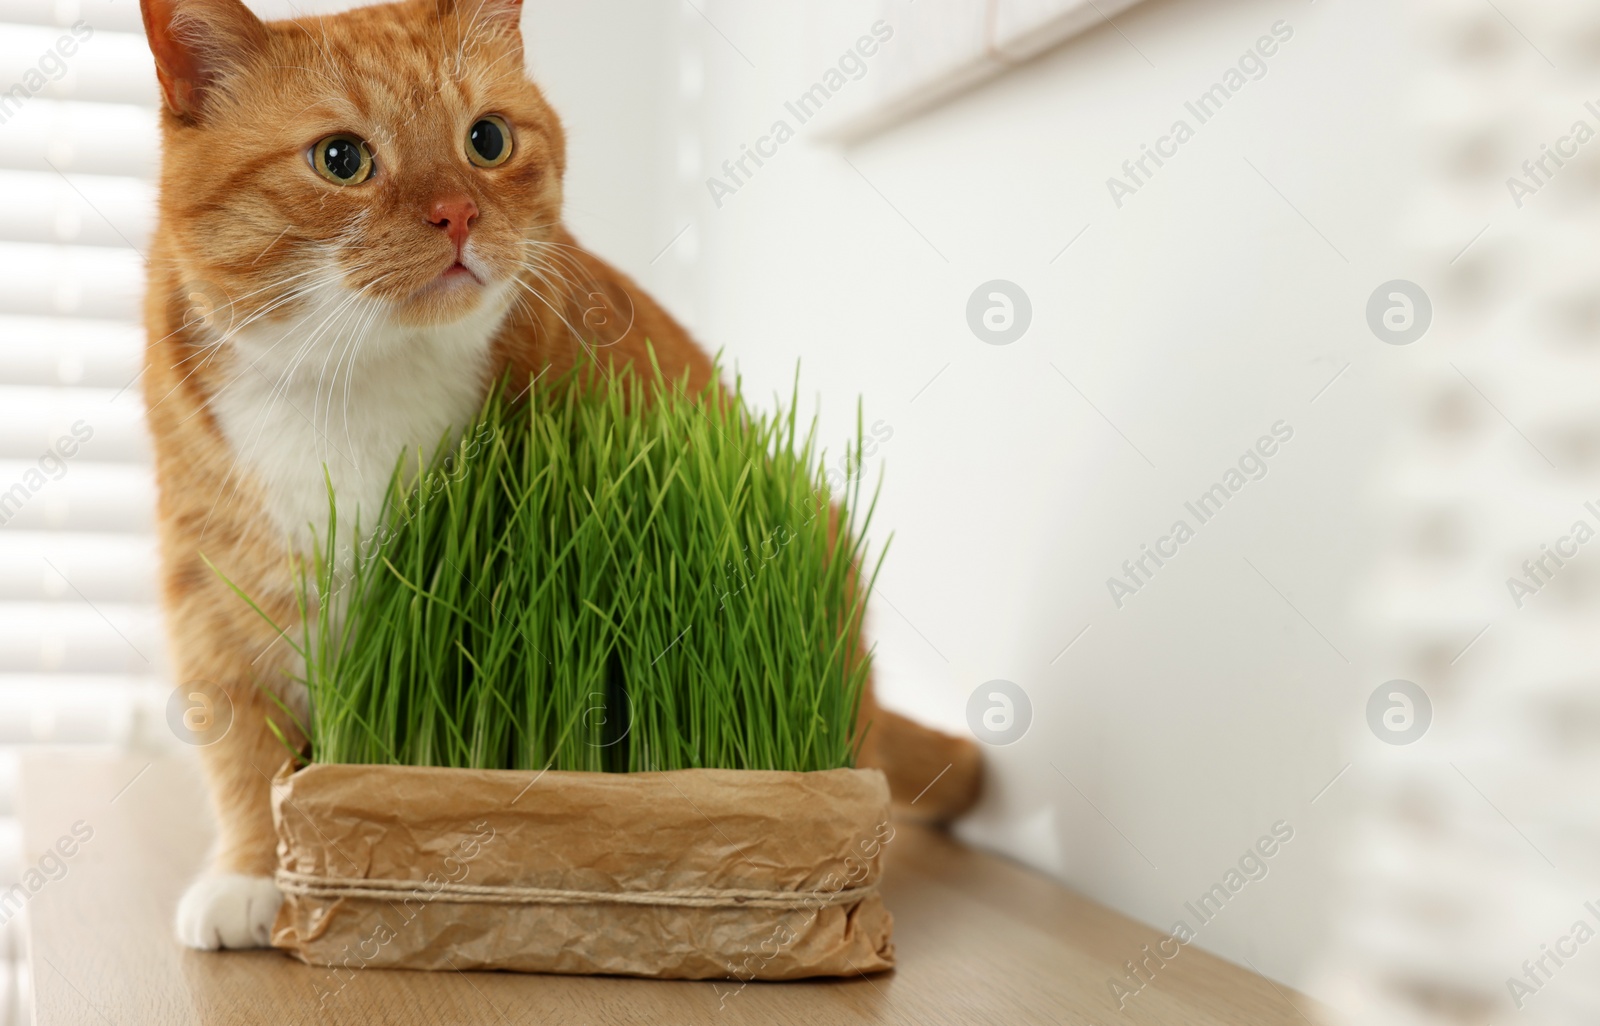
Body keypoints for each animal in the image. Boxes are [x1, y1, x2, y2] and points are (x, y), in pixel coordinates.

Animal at [140, 0, 985, 947]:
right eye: (341, 159)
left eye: (487, 140)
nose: (459, 213)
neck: (355, 382)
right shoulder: (211, 592)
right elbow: (242, 753)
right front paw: (249, 874)